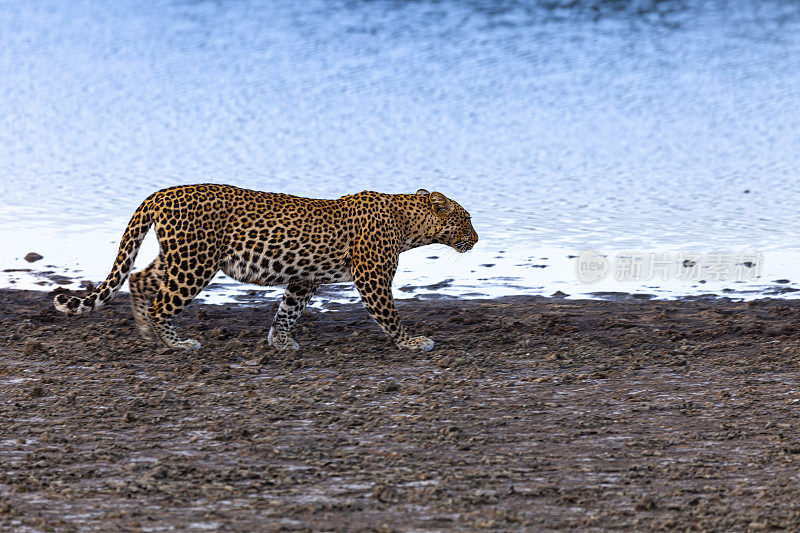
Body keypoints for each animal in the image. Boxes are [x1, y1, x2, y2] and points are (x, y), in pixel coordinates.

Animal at [53, 185, 478, 352]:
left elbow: (288, 310)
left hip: (181, 257)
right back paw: (177, 344)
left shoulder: (304, 279)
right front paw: (412, 342)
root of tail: (161, 193)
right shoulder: (372, 277)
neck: (409, 225)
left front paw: (281, 342)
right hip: (195, 263)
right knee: (161, 303)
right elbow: (390, 315)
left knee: (140, 279)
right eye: (466, 219)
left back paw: (145, 334)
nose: (476, 239)